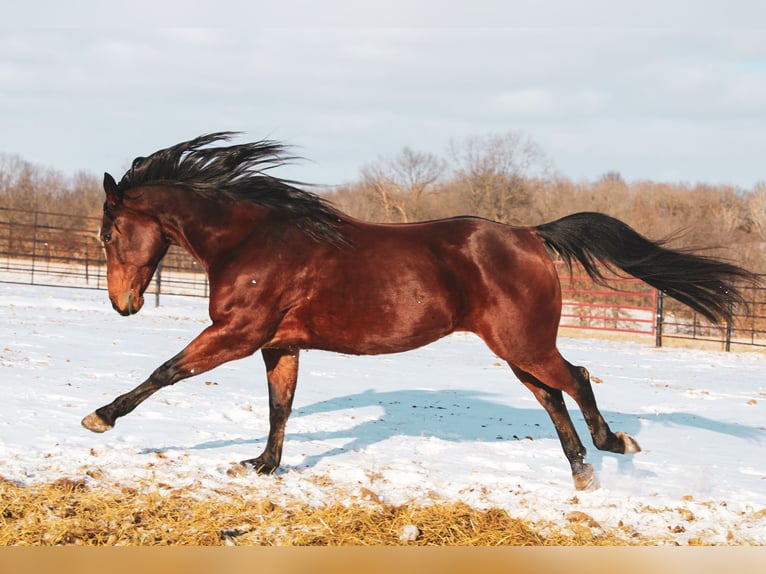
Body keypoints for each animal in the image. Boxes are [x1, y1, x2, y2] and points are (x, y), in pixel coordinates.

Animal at [81, 133, 760, 492]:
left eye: (109, 232)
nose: (122, 305)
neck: (255, 241)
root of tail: (532, 235)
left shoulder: (236, 332)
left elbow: (167, 371)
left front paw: (100, 418)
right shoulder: (280, 342)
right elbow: (281, 405)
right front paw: (264, 466)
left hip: (524, 342)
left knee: (576, 379)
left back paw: (612, 444)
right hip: (515, 348)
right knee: (551, 394)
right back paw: (581, 471)